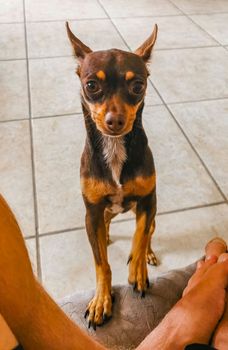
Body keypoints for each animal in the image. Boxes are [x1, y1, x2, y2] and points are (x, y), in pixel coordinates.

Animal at [67, 22, 158, 330]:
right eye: (91, 85)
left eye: (138, 85)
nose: (115, 121)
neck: (115, 148)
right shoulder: (92, 212)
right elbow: (101, 264)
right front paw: (101, 301)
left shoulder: (148, 201)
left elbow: (140, 236)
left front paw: (138, 271)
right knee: (105, 228)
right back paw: (106, 236)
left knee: (149, 231)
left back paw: (148, 253)